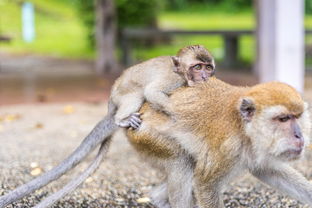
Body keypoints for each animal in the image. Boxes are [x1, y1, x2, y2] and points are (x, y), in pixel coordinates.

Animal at [0, 44, 214, 207]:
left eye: (208, 67)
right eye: (197, 67)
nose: (204, 77)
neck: (182, 74)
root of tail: (111, 97)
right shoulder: (174, 80)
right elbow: (152, 92)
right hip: (124, 95)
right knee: (137, 94)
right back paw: (120, 119)